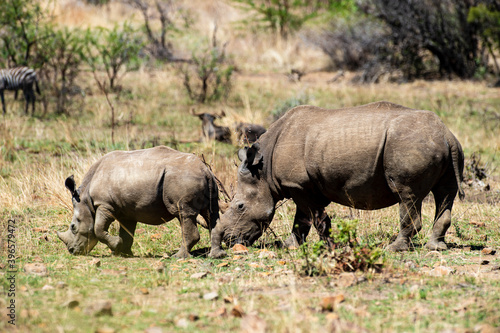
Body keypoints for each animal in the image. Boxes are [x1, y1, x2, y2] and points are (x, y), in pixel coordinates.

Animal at [56, 147, 225, 258]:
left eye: (73, 227)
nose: (72, 251)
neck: (85, 199)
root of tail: (205, 170)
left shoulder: (105, 204)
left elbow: (98, 229)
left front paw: (116, 247)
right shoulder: (126, 210)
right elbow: (127, 232)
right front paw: (121, 252)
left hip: (183, 179)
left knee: (184, 214)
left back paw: (178, 256)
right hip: (208, 182)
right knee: (211, 214)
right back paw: (216, 255)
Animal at [214, 100, 464, 252]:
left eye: (240, 206)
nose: (228, 240)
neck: (263, 171)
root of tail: (446, 135)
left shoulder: (298, 185)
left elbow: (313, 218)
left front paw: (331, 246)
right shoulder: (303, 186)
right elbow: (302, 219)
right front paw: (290, 246)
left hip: (409, 145)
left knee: (406, 195)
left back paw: (394, 248)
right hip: (442, 147)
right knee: (445, 194)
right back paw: (436, 247)